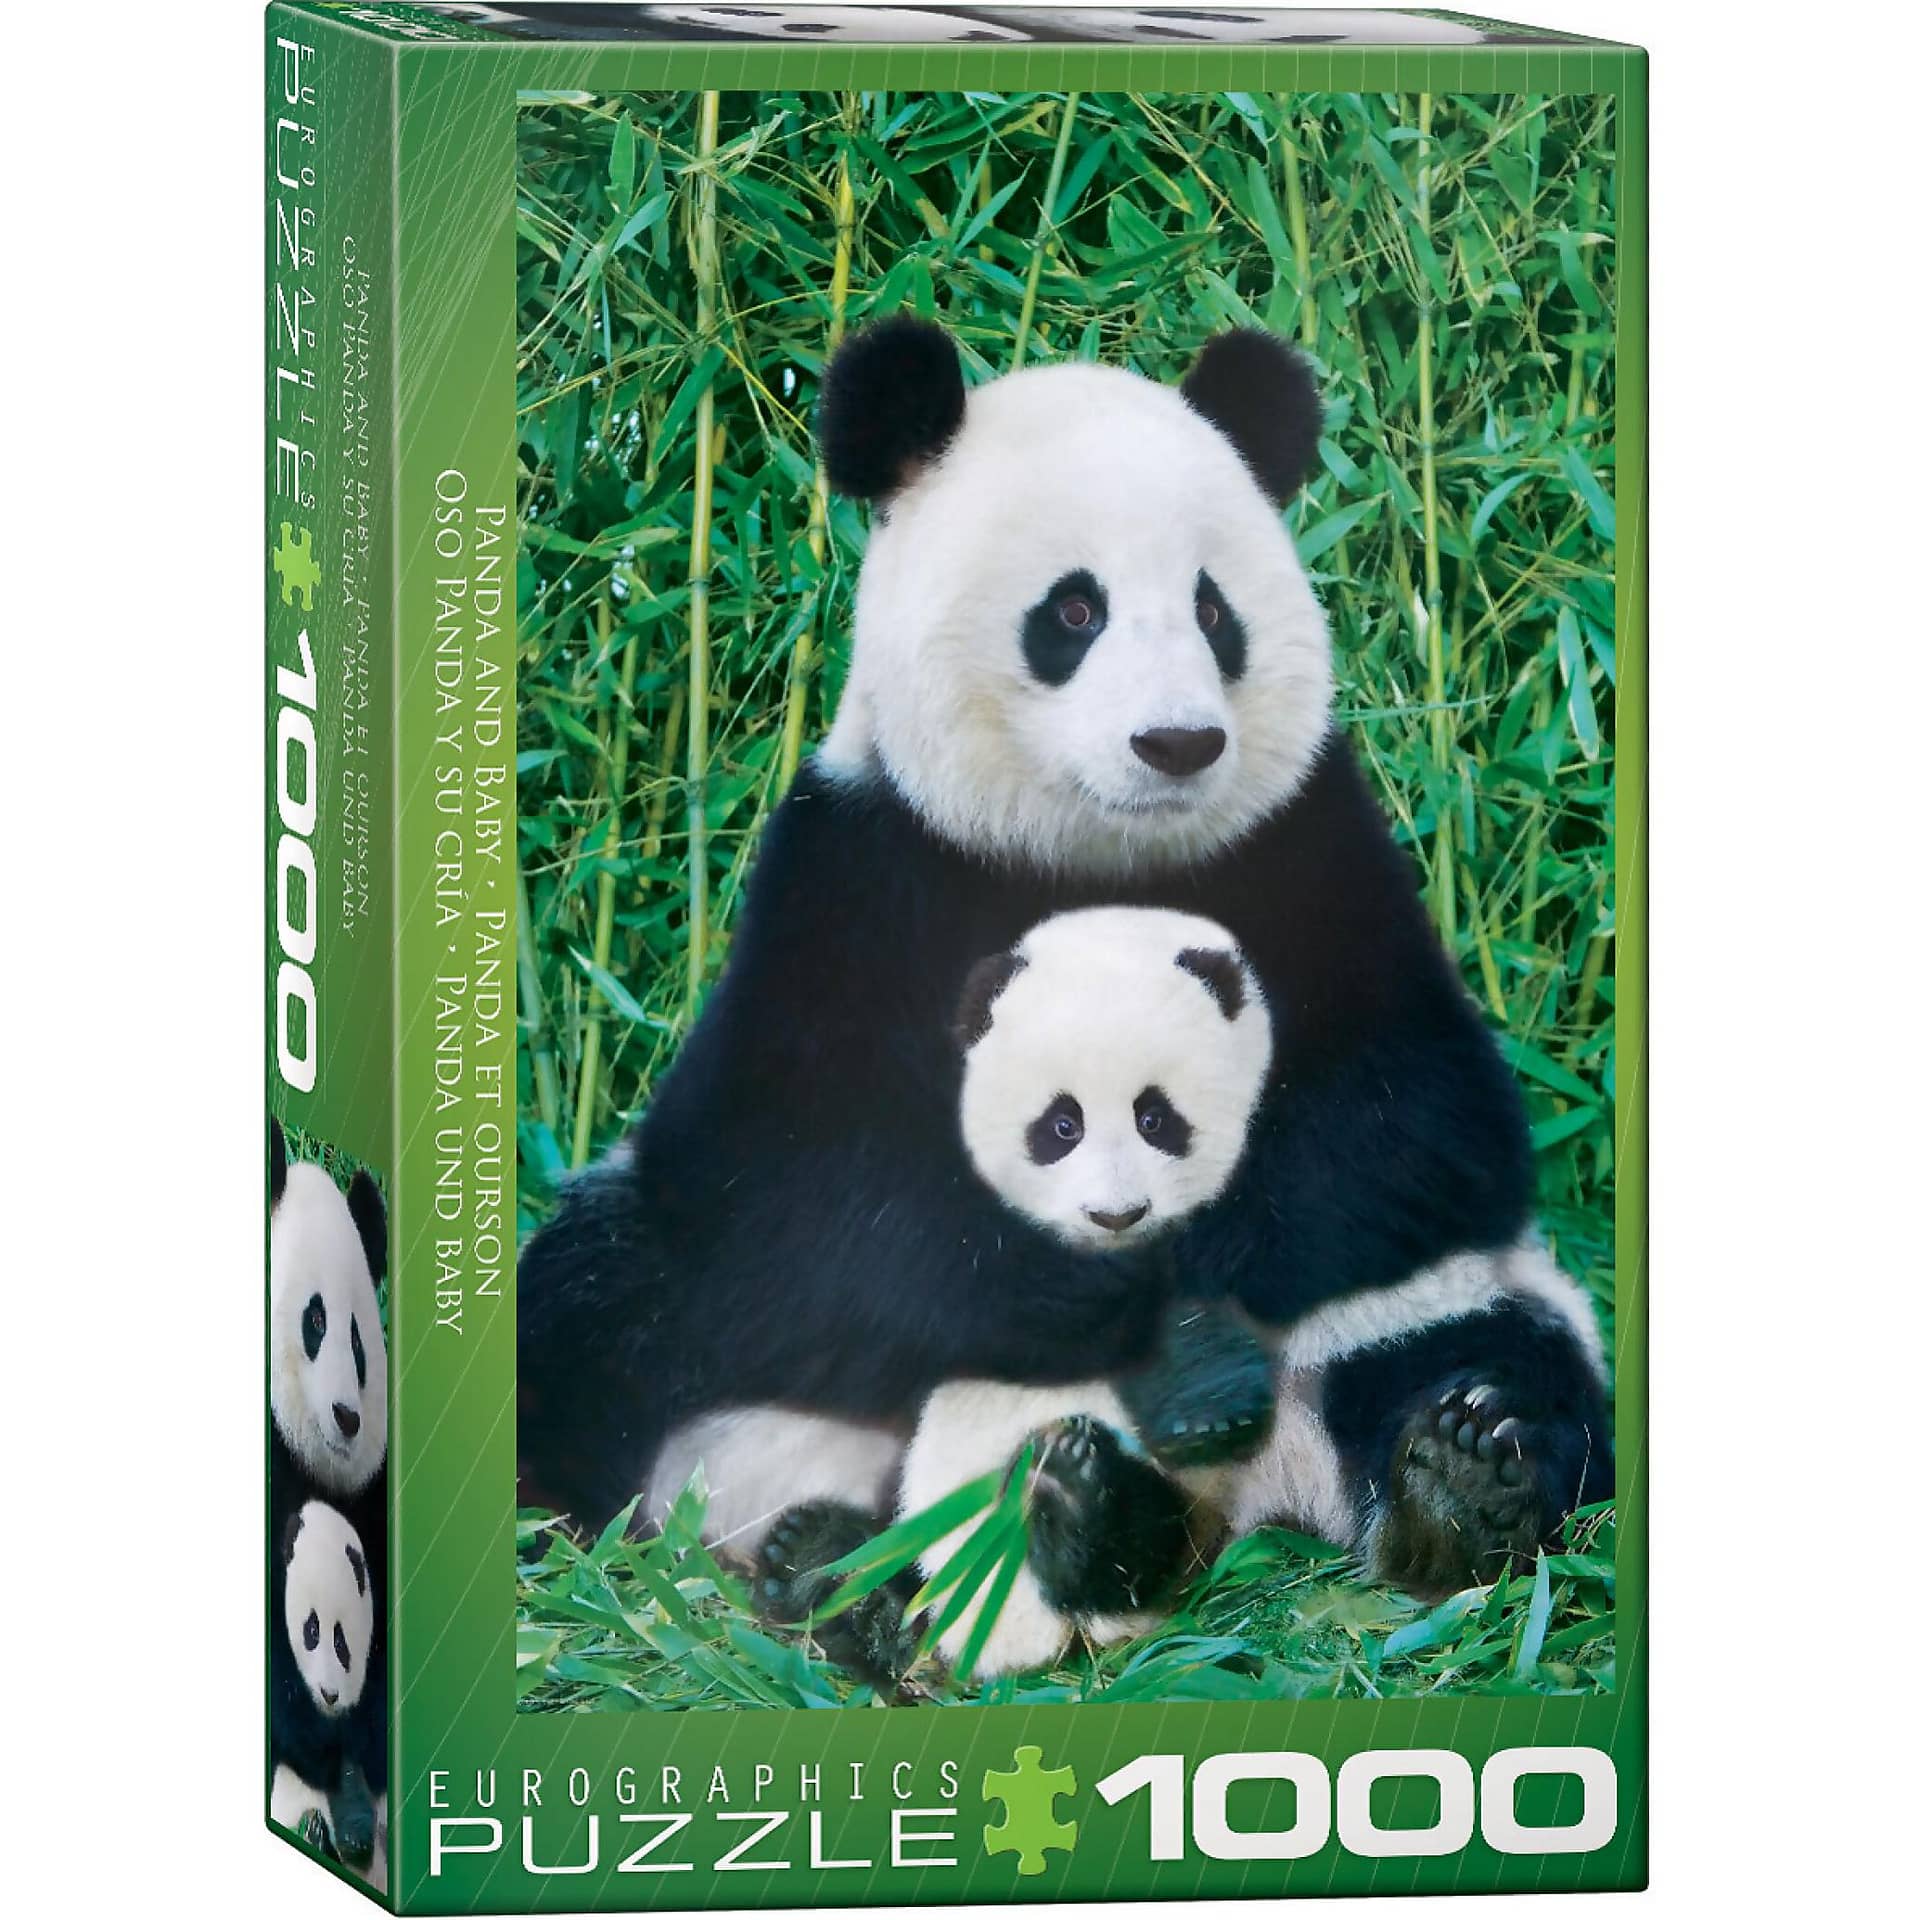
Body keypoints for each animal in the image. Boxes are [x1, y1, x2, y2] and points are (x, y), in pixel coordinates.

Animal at [516, 317, 1611, 1633]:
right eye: (1075, 610)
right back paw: (863, 1557)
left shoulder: (1314, 851)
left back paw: (1449, 1482)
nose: (1178, 742)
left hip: (1435, 1304)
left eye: (1212, 610)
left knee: (1498, 1352)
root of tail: (1248, 1500)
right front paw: (1110, 1294)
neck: (1093, 853)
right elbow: (790, 1186)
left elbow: (1422, 1122)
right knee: (593, 1312)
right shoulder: (856, 875)